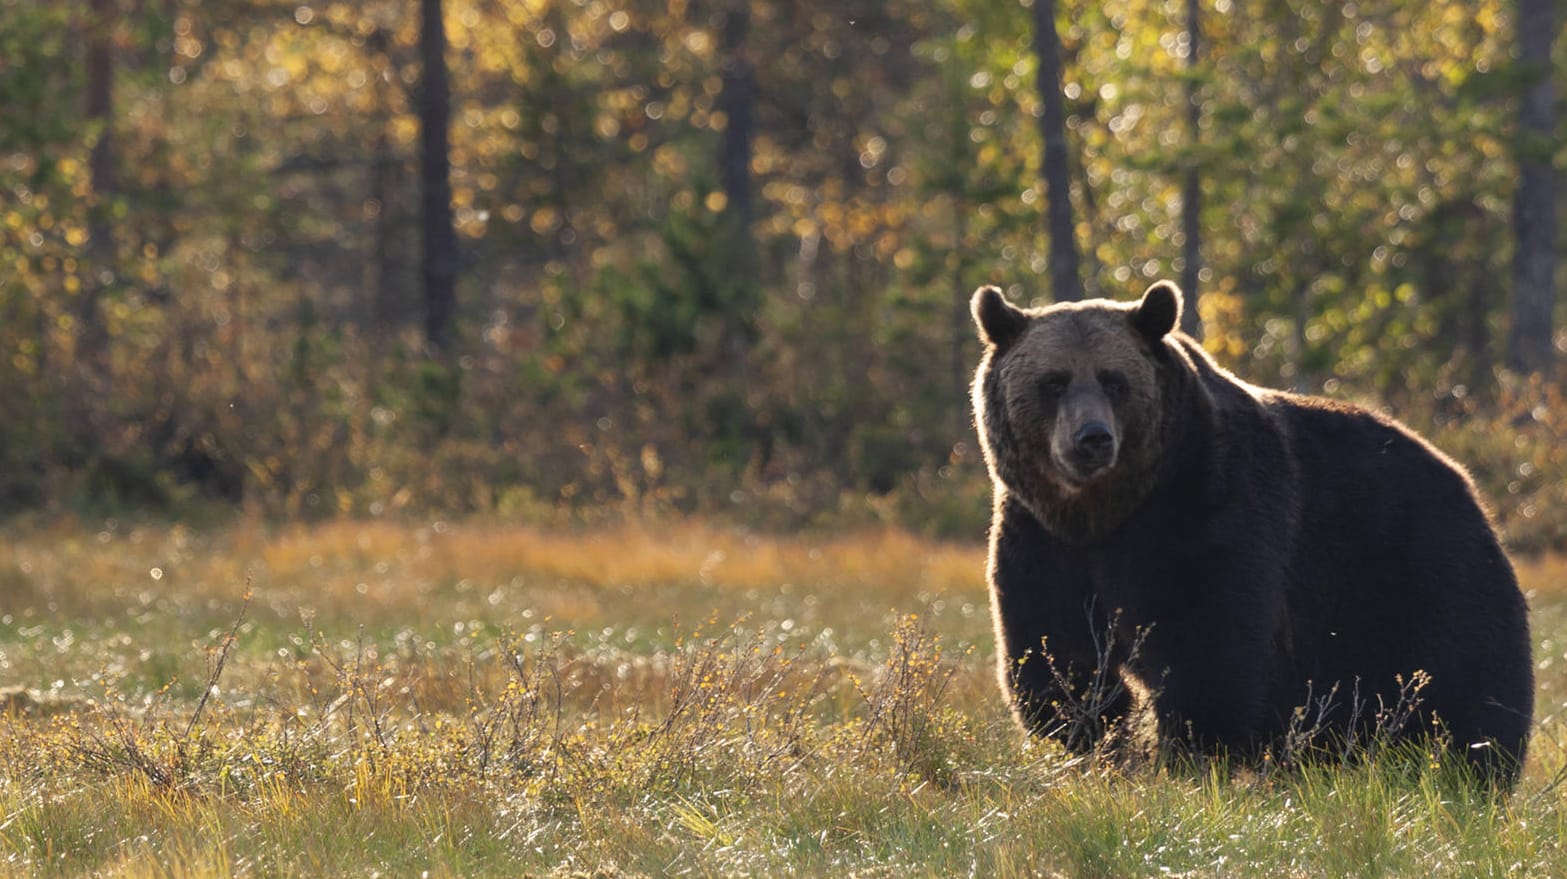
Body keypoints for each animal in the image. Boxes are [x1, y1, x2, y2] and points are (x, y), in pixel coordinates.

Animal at [971, 278, 1535, 780]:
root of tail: (1468, 482)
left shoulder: (1208, 506)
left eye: (1114, 379)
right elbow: (1056, 649)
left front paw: (1192, 752)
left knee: (1467, 679)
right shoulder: (1040, 537)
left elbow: (1206, 640)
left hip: (1418, 568)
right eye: (1054, 381)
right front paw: (1086, 737)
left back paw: (1467, 770)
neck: (1107, 511)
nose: (1092, 438)